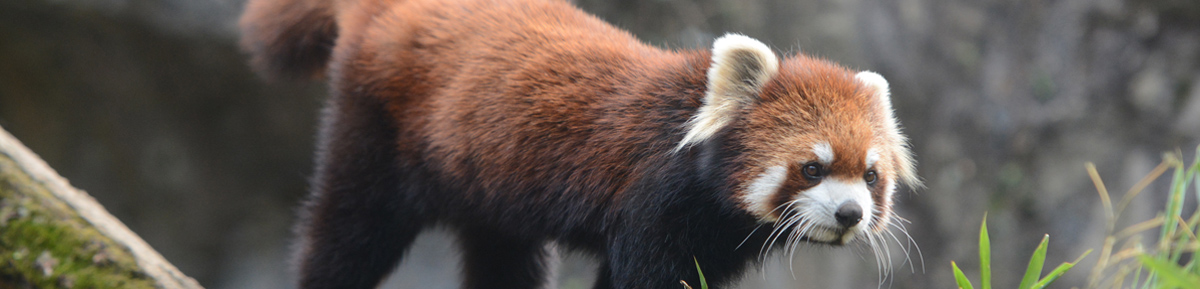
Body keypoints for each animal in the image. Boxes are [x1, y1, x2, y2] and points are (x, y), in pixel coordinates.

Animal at [241, 0, 916, 287]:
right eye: (812, 168)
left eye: (870, 176)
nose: (851, 214)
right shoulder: (652, 209)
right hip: (374, 129)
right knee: (350, 234)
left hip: (491, 178)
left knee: (504, 257)